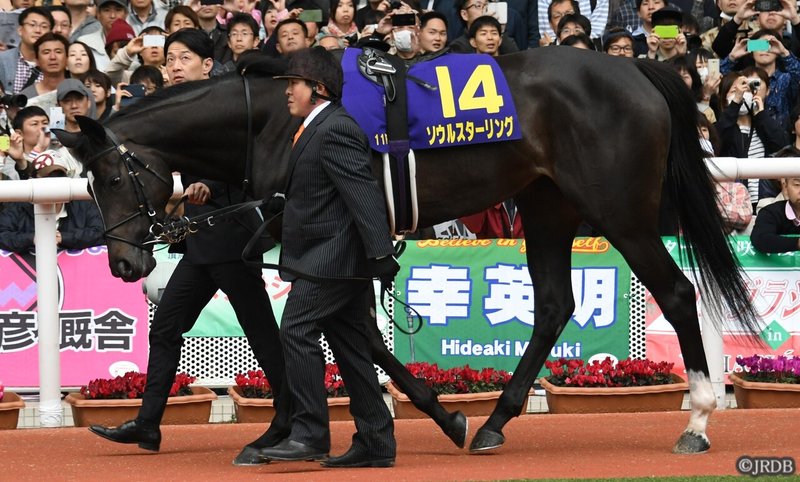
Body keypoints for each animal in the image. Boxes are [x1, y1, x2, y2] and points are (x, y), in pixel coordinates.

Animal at [54, 47, 756, 458]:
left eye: (111, 177)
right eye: (88, 184)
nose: (124, 265)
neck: (276, 118)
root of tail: (634, 69)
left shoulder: (328, 228)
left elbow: (343, 331)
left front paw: (419, 418)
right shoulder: (341, 237)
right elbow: (354, 331)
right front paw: (420, 418)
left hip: (618, 209)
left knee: (676, 292)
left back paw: (697, 420)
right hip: (548, 204)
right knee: (556, 303)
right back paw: (495, 421)